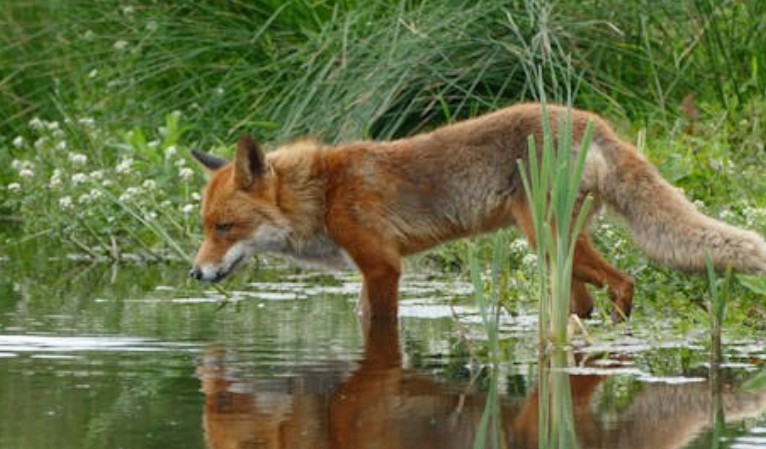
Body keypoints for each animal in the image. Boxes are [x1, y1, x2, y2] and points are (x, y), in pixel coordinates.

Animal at [189, 103, 766, 321]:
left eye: (225, 228)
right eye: (205, 228)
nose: (195, 273)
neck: (324, 193)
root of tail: (590, 119)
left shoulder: (383, 266)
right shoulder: (371, 269)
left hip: (547, 240)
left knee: (624, 282)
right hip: (557, 250)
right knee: (585, 301)